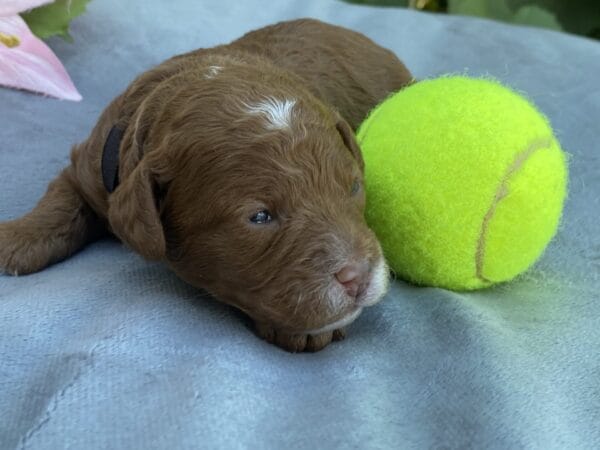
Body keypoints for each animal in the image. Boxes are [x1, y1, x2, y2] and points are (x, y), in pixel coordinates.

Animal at [0, 18, 412, 352]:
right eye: (260, 217)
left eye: (354, 188)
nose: (358, 276)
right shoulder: (91, 165)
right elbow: (62, 202)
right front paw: (15, 239)